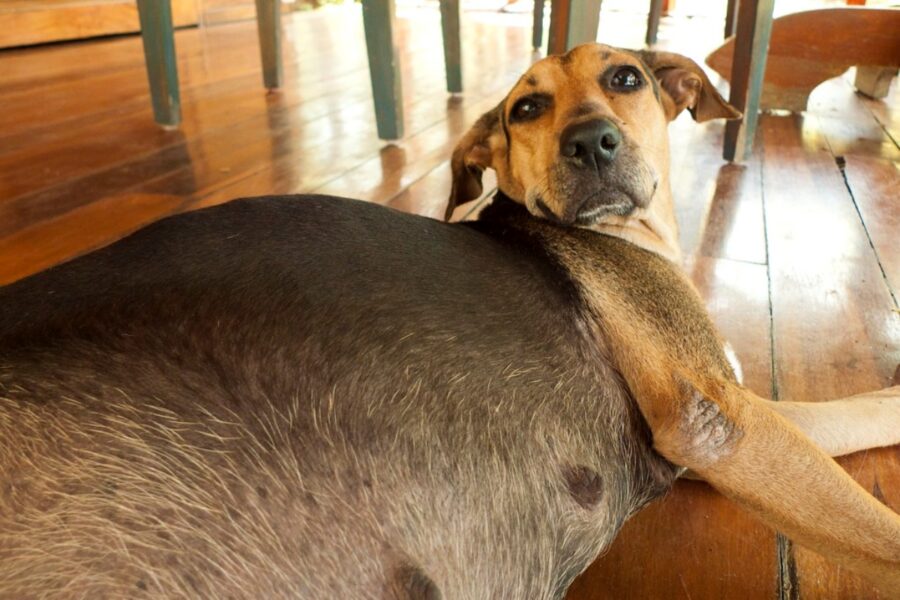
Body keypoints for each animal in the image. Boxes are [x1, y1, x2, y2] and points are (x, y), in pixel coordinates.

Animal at [0, 42, 896, 596]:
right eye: (526, 109)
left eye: (625, 79)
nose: (592, 143)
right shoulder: (719, 420)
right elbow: (879, 530)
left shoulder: (730, 433)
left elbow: (852, 412)